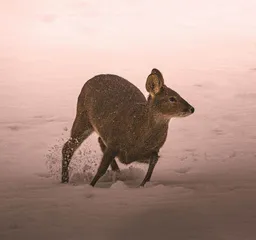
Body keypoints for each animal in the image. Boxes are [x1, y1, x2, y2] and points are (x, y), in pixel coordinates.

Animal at [62, 68, 194, 187]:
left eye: (179, 94)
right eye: (172, 98)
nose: (191, 108)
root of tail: (91, 79)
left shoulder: (145, 151)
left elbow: (154, 159)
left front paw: (144, 183)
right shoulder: (114, 142)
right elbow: (101, 169)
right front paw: (91, 186)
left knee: (98, 140)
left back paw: (117, 172)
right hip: (82, 117)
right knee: (68, 147)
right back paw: (64, 180)